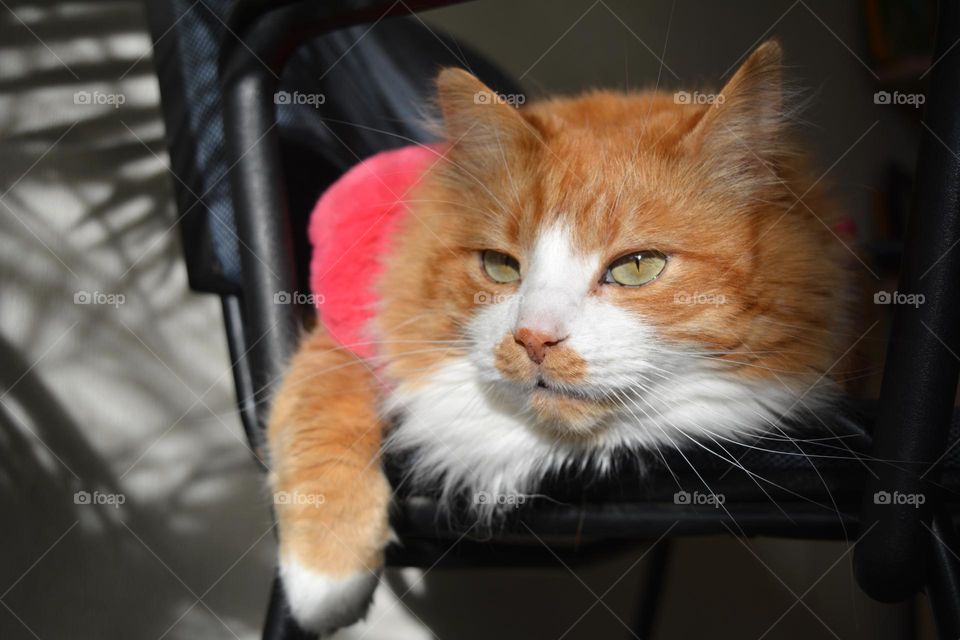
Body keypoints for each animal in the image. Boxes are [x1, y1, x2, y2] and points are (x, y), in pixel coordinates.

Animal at [268, 41, 848, 636]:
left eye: (638, 266)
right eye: (499, 266)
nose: (533, 339)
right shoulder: (354, 326)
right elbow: (321, 404)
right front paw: (324, 577)